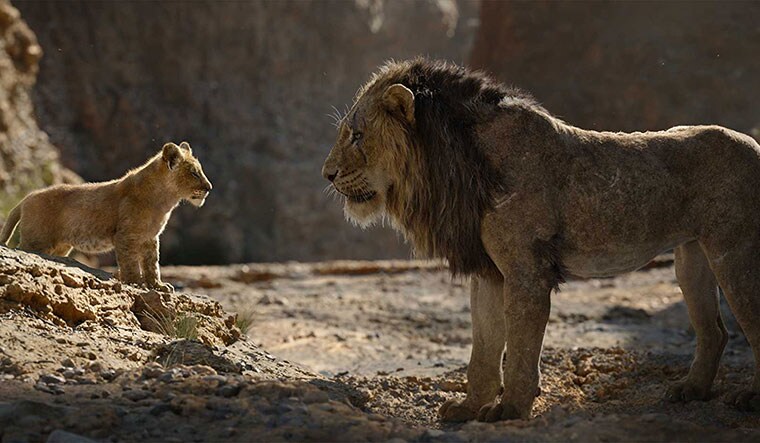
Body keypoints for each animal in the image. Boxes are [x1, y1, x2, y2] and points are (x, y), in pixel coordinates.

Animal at [1, 141, 212, 292]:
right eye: (194, 173)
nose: (209, 188)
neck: (165, 200)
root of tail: (26, 198)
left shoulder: (150, 237)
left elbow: (152, 263)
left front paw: (158, 286)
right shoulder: (126, 235)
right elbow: (130, 263)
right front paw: (135, 283)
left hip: (59, 247)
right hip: (36, 241)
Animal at [322, 58, 760, 421]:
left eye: (357, 136)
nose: (327, 174)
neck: (452, 164)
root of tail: (754, 145)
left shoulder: (526, 271)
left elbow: (519, 347)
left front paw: (510, 409)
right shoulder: (489, 272)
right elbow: (483, 347)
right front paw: (469, 407)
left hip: (734, 252)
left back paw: (747, 398)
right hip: (692, 257)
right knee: (715, 332)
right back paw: (691, 390)